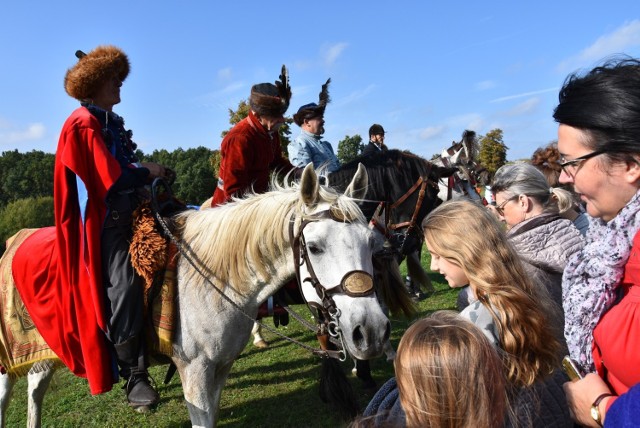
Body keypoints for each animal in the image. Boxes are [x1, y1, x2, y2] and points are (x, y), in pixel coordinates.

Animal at [0, 162, 388, 426]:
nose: (370, 332)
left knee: (35, 391)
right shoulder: (195, 372)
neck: (218, 278)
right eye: (315, 246)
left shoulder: (219, 369)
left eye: (371, 243)